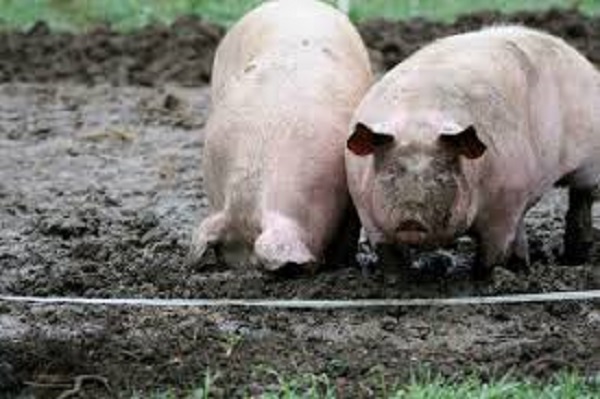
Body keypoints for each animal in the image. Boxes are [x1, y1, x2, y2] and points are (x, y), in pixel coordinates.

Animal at [344, 26, 600, 280]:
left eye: (441, 175)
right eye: (390, 174)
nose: (411, 219)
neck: (419, 122)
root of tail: (582, 60)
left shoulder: (504, 206)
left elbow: (491, 255)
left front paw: (481, 280)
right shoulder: (365, 210)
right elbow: (389, 257)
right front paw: (398, 282)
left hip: (588, 160)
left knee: (581, 199)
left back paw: (573, 260)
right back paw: (522, 268)